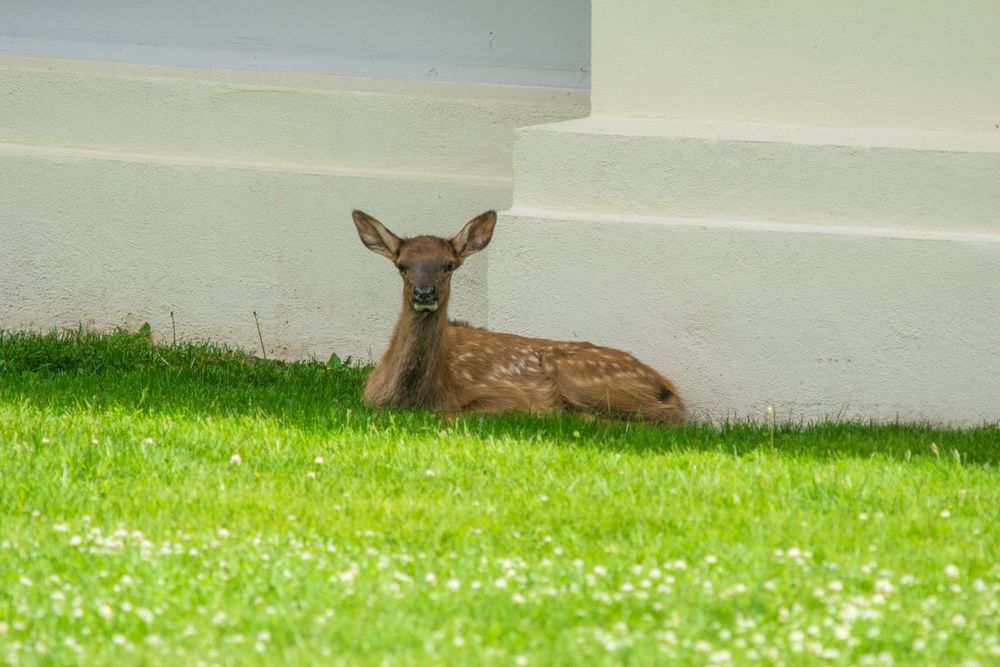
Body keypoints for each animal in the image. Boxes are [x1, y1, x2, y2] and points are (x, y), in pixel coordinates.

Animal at [351, 209, 686, 424]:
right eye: (402, 266)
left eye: (449, 265)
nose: (424, 293)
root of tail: (669, 389)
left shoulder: (507, 396)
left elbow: (453, 414)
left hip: (579, 377)